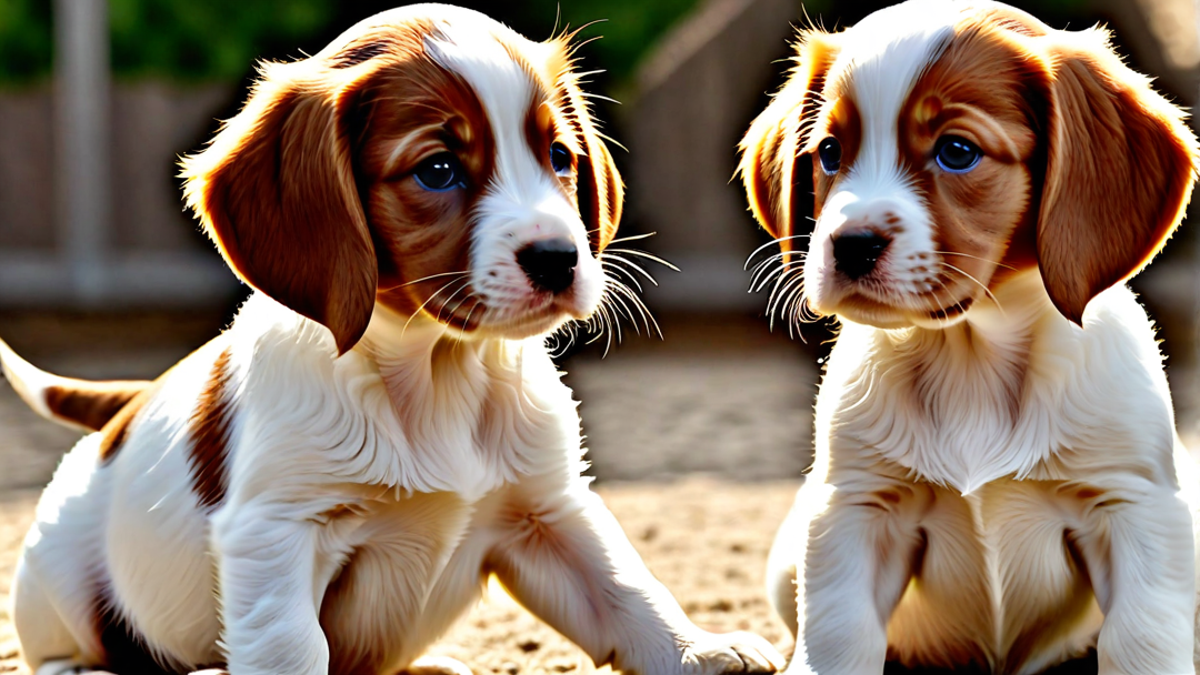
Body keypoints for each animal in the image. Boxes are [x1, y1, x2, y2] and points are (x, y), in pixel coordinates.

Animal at [2, 5, 787, 672]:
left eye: (560, 157)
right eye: (436, 169)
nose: (560, 258)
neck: (435, 373)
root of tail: (125, 411)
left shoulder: (547, 511)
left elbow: (625, 588)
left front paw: (697, 648)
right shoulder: (276, 530)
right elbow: (292, 647)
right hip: (57, 582)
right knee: (62, 648)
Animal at [739, 1, 1200, 672]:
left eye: (957, 151)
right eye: (828, 151)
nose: (848, 245)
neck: (971, 358)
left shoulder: (1131, 504)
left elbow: (1141, 637)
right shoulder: (856, 509)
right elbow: (837, 635)